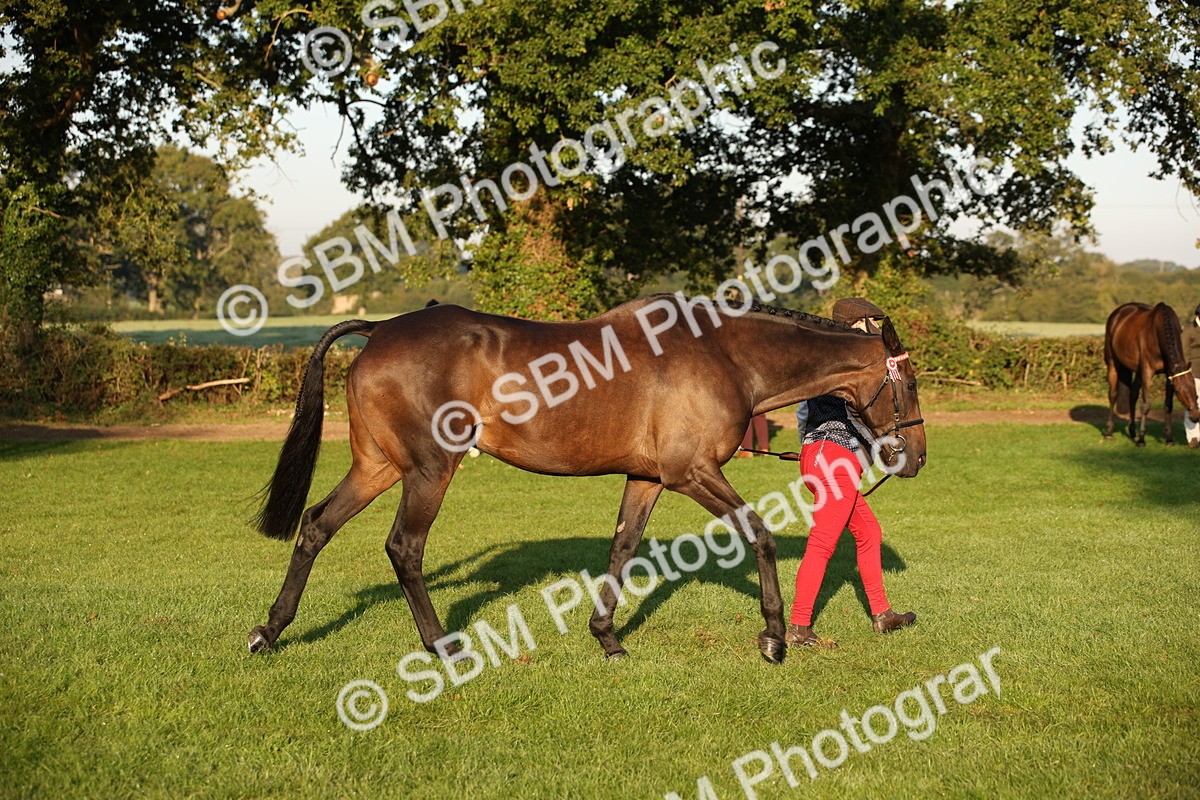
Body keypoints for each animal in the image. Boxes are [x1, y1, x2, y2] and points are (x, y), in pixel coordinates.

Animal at [246, 293, 927, 664]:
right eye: (912, 383)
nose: (916, 457)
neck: (725, 355)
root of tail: (380, 329)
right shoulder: (692, 472)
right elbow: (757, 535)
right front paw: (774, 638)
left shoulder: (648, 478)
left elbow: (623, 547)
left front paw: (607, 637)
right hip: (429, 469)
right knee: (404, 548)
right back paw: (442, 645)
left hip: (380, 466)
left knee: (316, 526)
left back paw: (269, 631)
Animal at [1104, 302, 1200, 446]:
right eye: (1178, 391)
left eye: (1194, 387)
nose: (1195, 417)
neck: (1157, 332)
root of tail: (1117, 313)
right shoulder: (1147, 372)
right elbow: (1146, 405)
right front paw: (1141, 439)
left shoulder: (1169, 375)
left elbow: (1168, 405)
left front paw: (1169, 438)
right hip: (1113, 364)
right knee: (1113, 395)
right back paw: (1109, 432)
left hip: (1138, 371)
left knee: (1133, 394)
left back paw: (1132, 432)